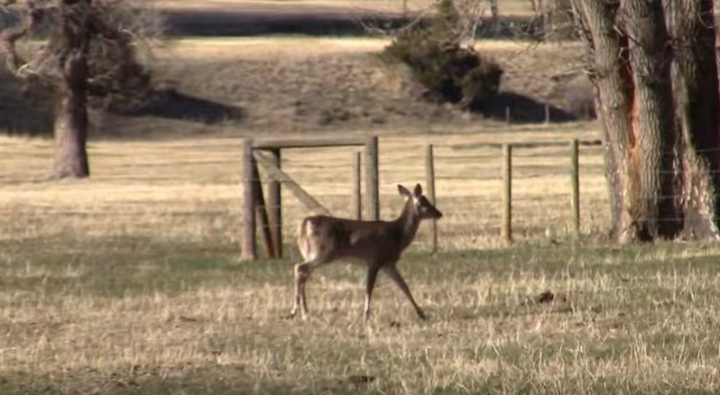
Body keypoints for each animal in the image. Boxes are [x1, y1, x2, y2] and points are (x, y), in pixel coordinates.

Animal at [290, 184, 442, 324]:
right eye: (424, 202)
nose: (439, 213)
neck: (397, 235)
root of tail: (305, 224)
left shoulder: (388, 263)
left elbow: (404, 286)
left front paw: (422, 314)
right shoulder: (375, 259)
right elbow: (369, 288)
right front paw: (366, 316)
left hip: (313, 253)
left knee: (303, 274)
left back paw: (305, 313)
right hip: (324, 251)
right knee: (298, 267)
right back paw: (295, 311)